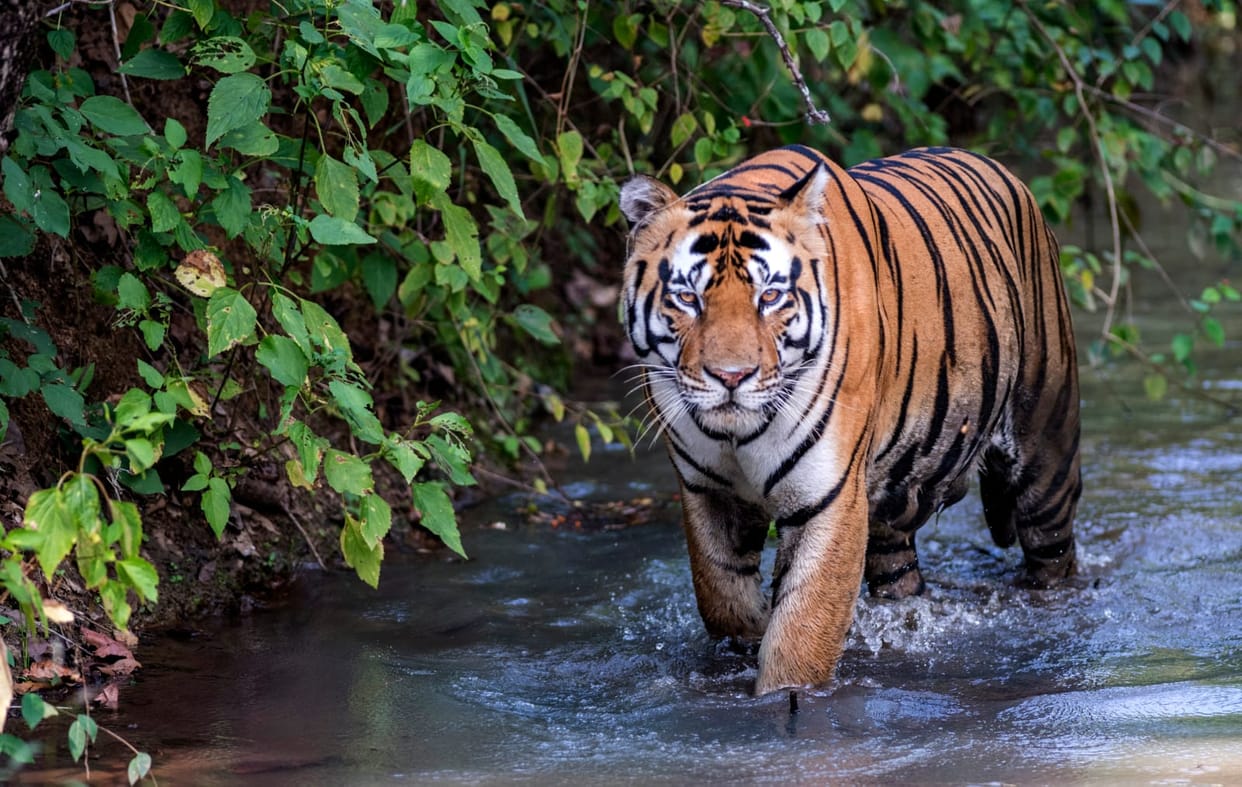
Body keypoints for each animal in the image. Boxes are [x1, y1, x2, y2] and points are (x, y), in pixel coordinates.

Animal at [619, 145, 1081, 696]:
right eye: (688, 298)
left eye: (769, 297)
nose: (732, 376)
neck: (737, 432)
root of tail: (997, 166)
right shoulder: (707, 491)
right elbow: (722, 596)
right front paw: (746, 640)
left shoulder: (829, 496)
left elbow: (800, 632)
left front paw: (783, 694)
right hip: (893, 501)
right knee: (898, 572)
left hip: (1045, 447)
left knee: (1052, 557)